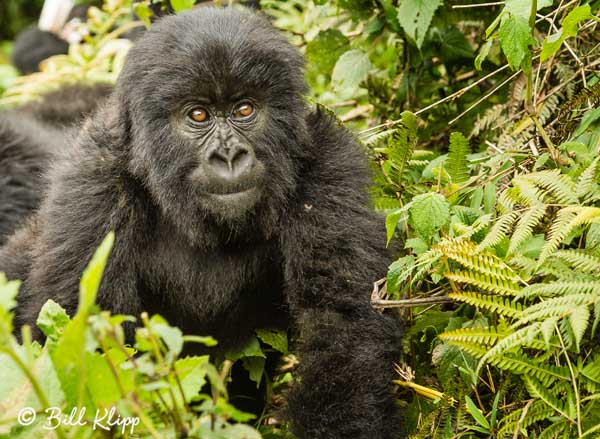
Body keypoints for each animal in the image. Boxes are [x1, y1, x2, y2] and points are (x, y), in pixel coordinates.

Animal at [1, 5, 404, 438]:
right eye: (198, 114)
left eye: (244, 110)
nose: (229, 156)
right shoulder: (92, 183)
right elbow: (84, 341)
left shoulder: (329, 165)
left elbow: (341, 327)